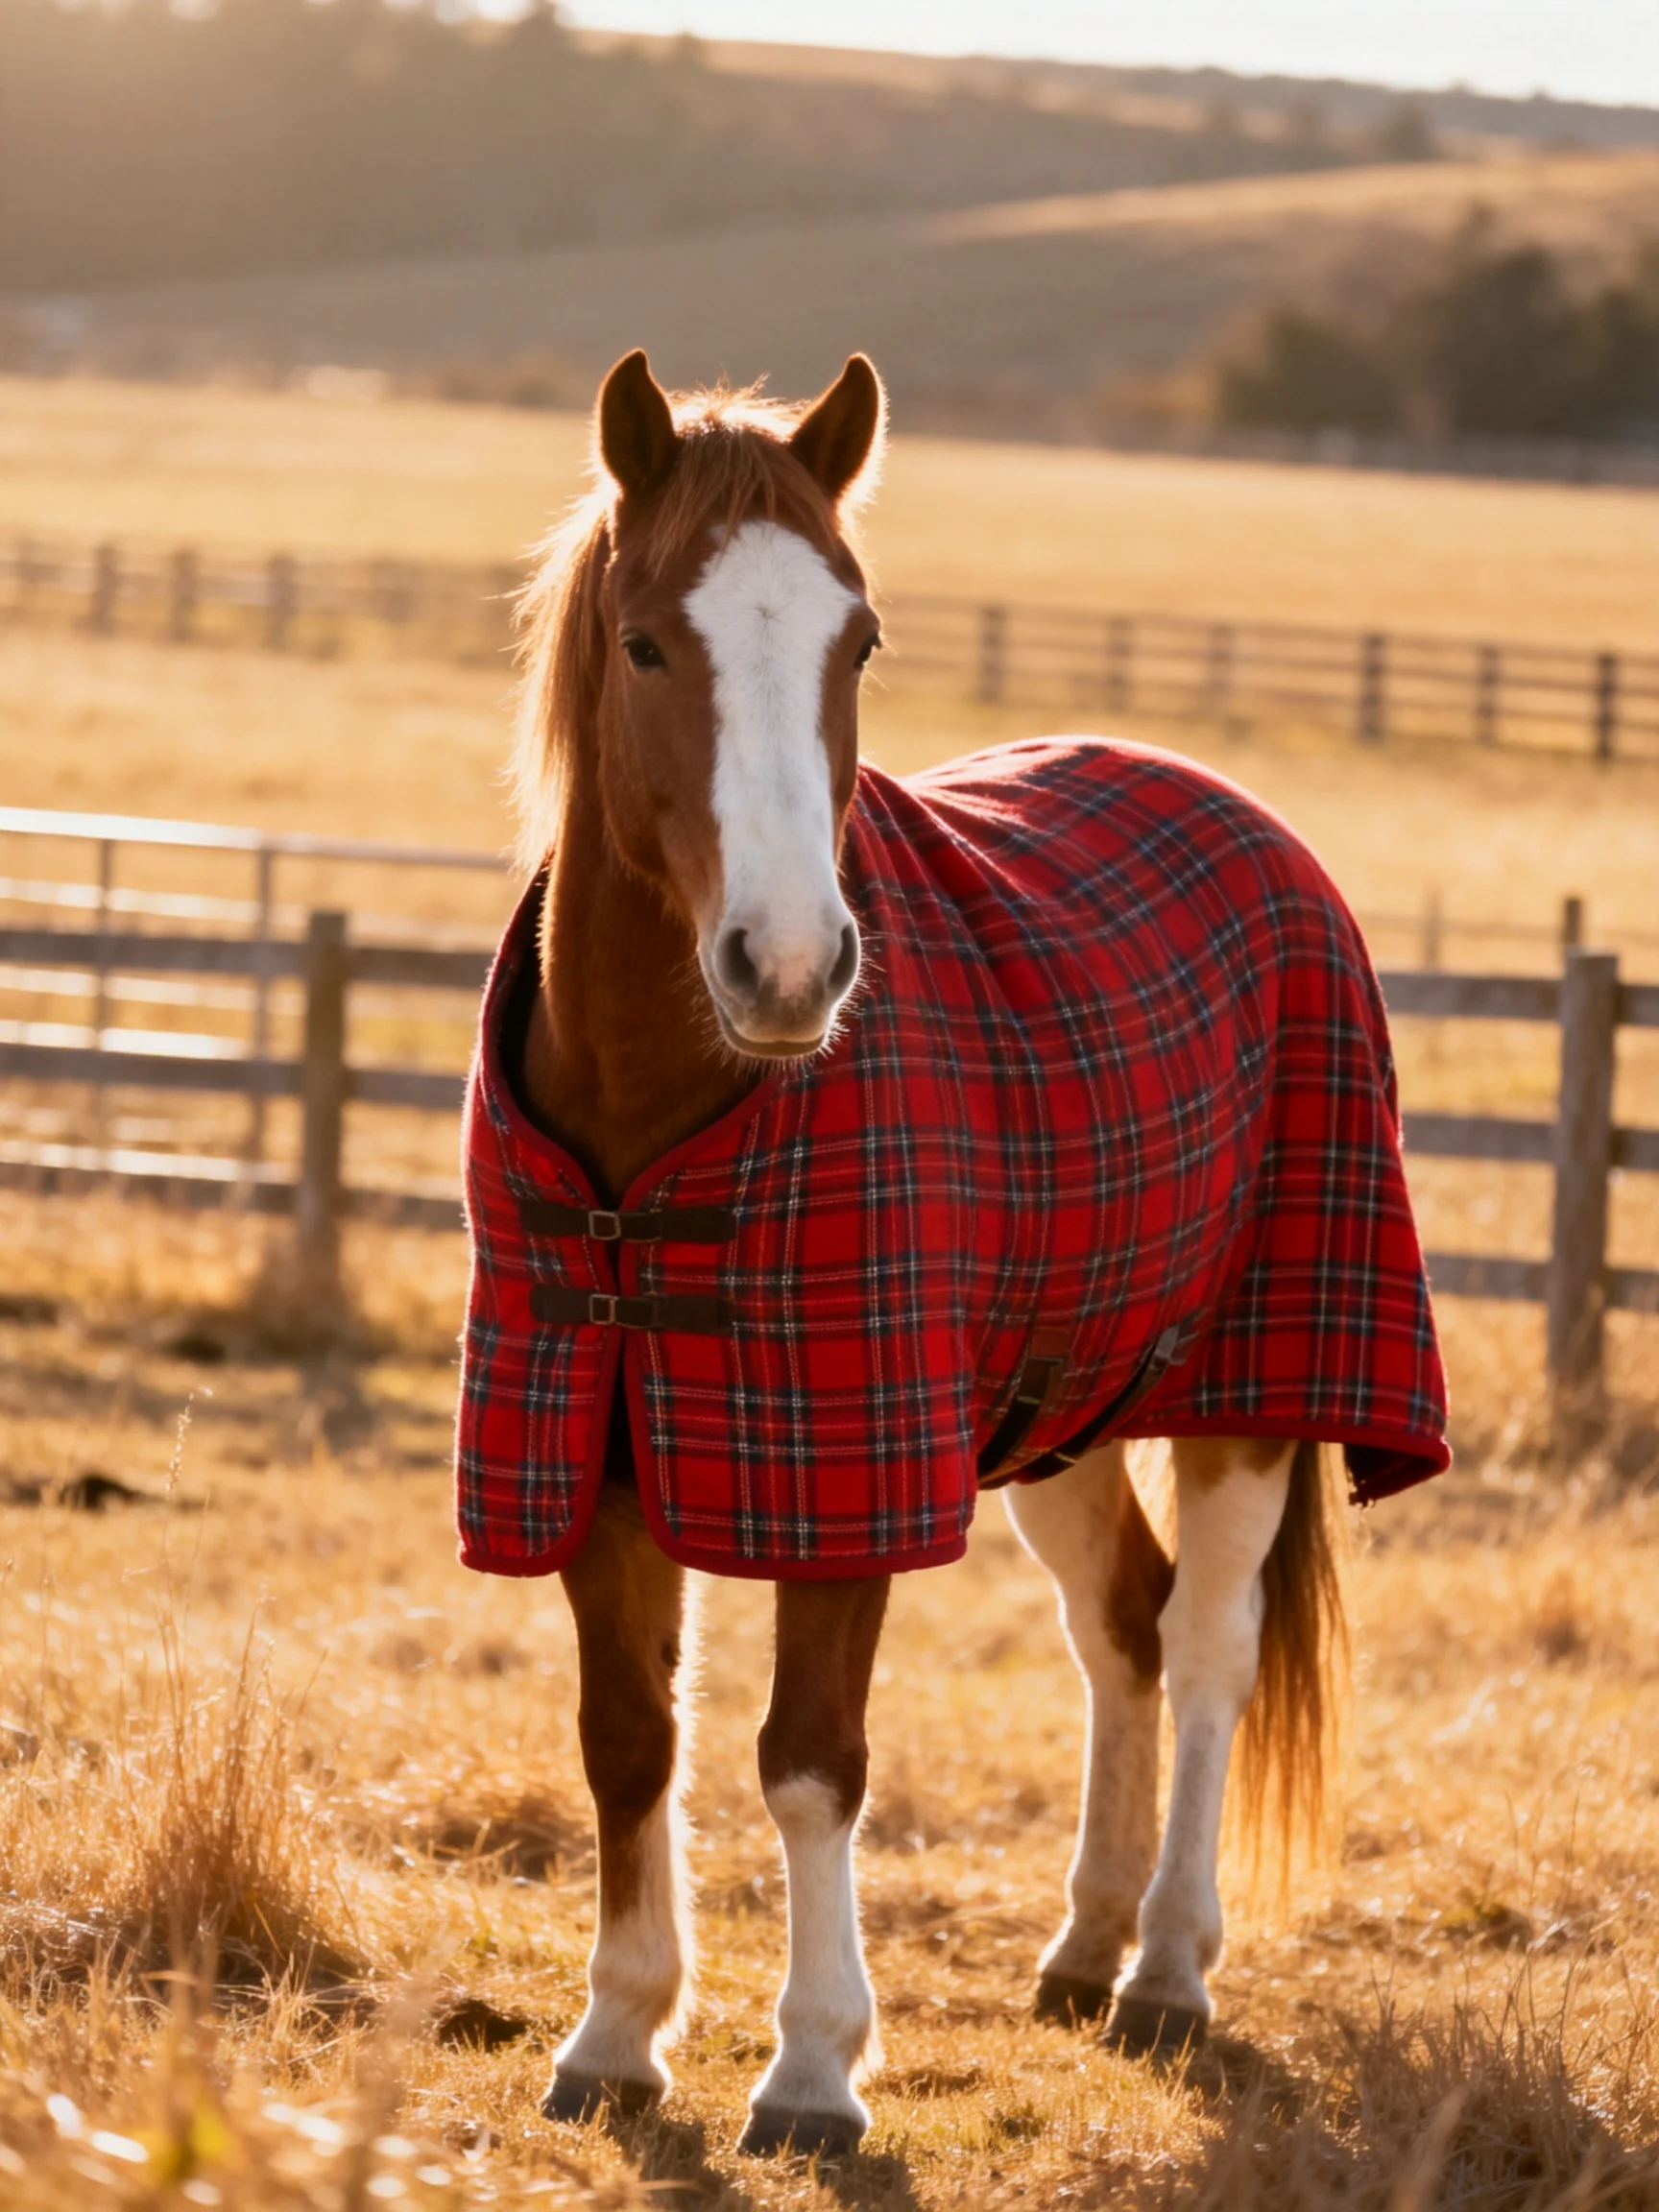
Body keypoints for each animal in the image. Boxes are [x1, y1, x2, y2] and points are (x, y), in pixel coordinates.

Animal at [454, 349, 1449, 2156]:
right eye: (646, 641)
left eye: (856, 641)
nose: (789, 966)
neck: (665, 1122)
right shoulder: (593, 1444)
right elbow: (628, 1740)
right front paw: (618, 2033)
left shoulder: (844, 1475)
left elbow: (808, 1758)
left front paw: (813, 2065)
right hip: (1058, 1407)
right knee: (1122, 1626)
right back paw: (1083, 1942)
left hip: (1249, 1387)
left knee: (1207, 1645)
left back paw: (1166, 1968)